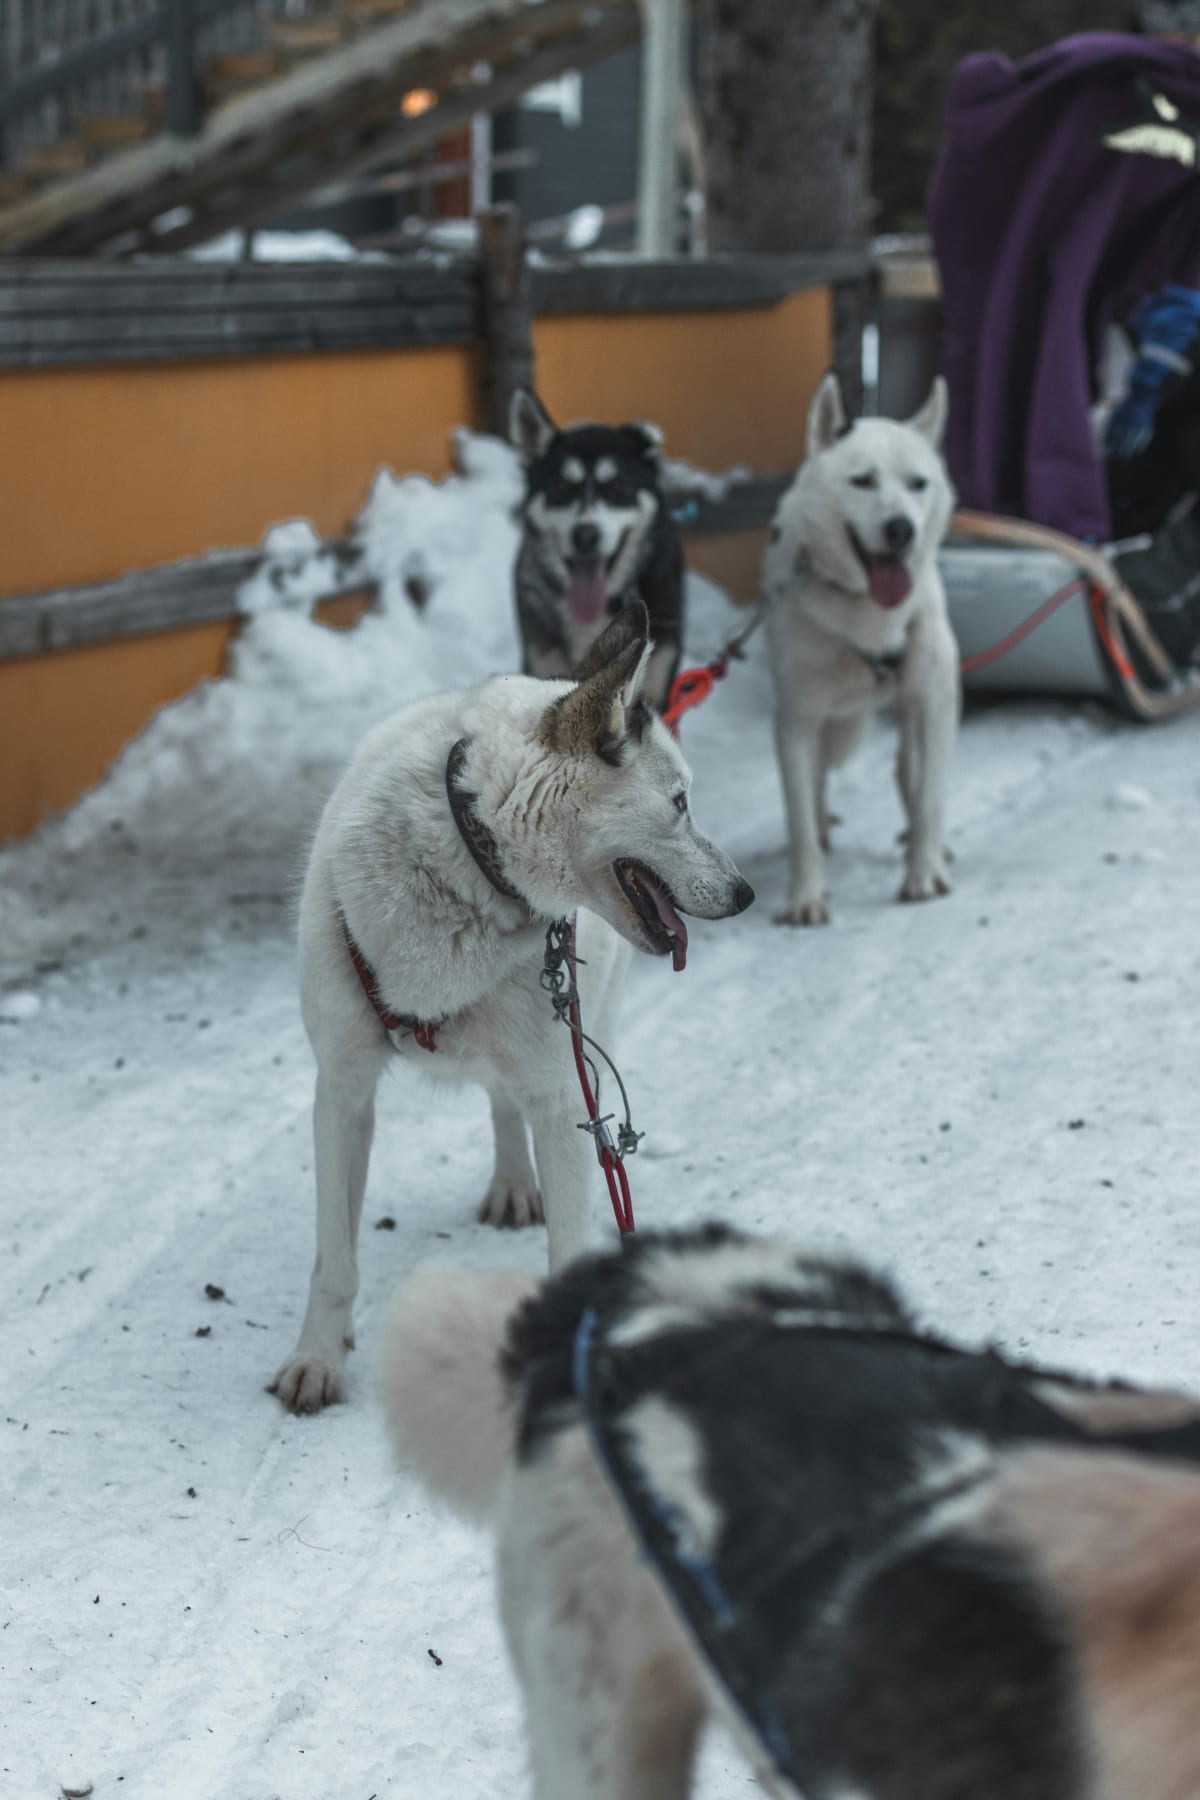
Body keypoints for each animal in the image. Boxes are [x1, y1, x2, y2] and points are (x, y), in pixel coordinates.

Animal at [271, 608, 752, 1418]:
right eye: (681, 803)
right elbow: (333, 1256)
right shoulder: (341, 1088)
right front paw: (316, 1358)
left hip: (581, 1036)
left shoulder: (564, 1098)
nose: (744, 891)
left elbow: (568, 1236)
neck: (471, 853)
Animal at [766, 370, 964, 921]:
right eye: (862, 481)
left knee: (909, 773)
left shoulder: (935, 703)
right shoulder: (796, 720)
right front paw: (806, 895)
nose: (901, 529)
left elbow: (930, 797)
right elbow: (797, 816)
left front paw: (924, 871)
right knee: (817, 786)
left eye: (917, 483)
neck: (869, 618)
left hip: (912, 708)